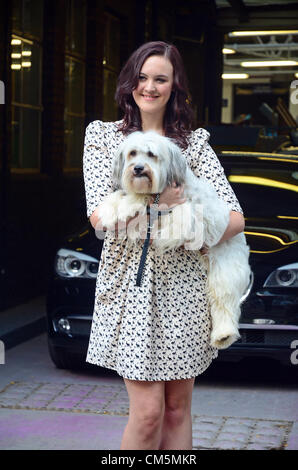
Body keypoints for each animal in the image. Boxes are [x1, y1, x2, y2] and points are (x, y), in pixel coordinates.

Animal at [97, 130, 251, 346]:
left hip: (224, 270)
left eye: (151, 154)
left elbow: (143, 199)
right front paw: (110, 209)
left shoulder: (187, 210)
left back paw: (224, 334)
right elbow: (121, 197)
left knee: (224, 303)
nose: (138, 168)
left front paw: (129, 204)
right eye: (132, 153)